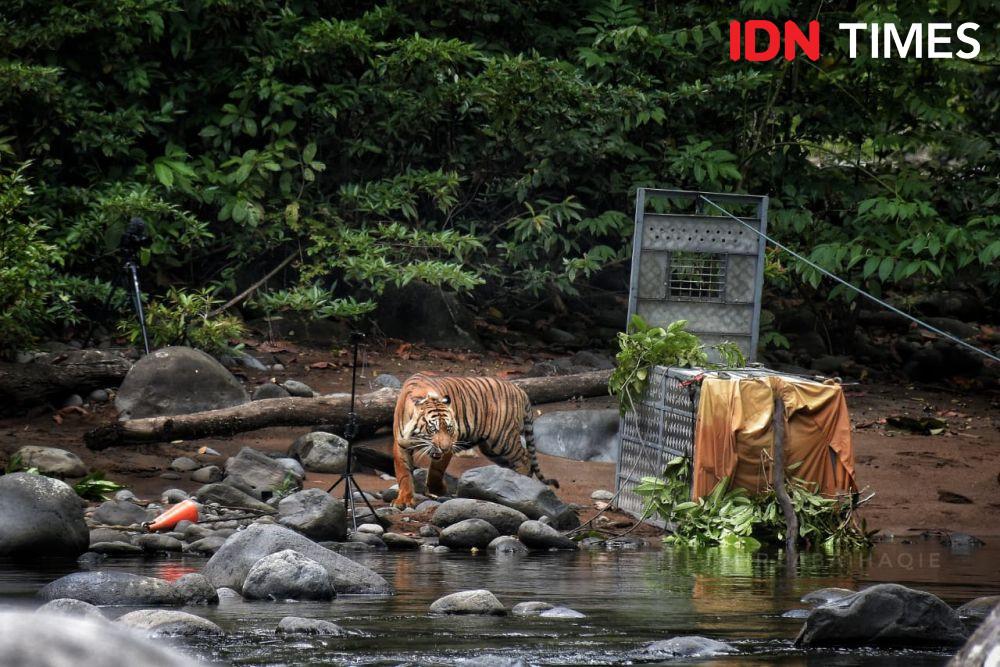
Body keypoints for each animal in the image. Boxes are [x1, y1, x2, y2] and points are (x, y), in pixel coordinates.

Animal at [390, 374, 560, 508]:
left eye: (449, 428)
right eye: (433, 429)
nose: (444, 448)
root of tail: (519, 390)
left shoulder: (451, 442)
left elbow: (436, 471)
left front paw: (437, 490)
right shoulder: (401, 444)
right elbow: (404, 474)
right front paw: (404, 500)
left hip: (502, 441)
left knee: (524, 459)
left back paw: (521, 484)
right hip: (492, 449)